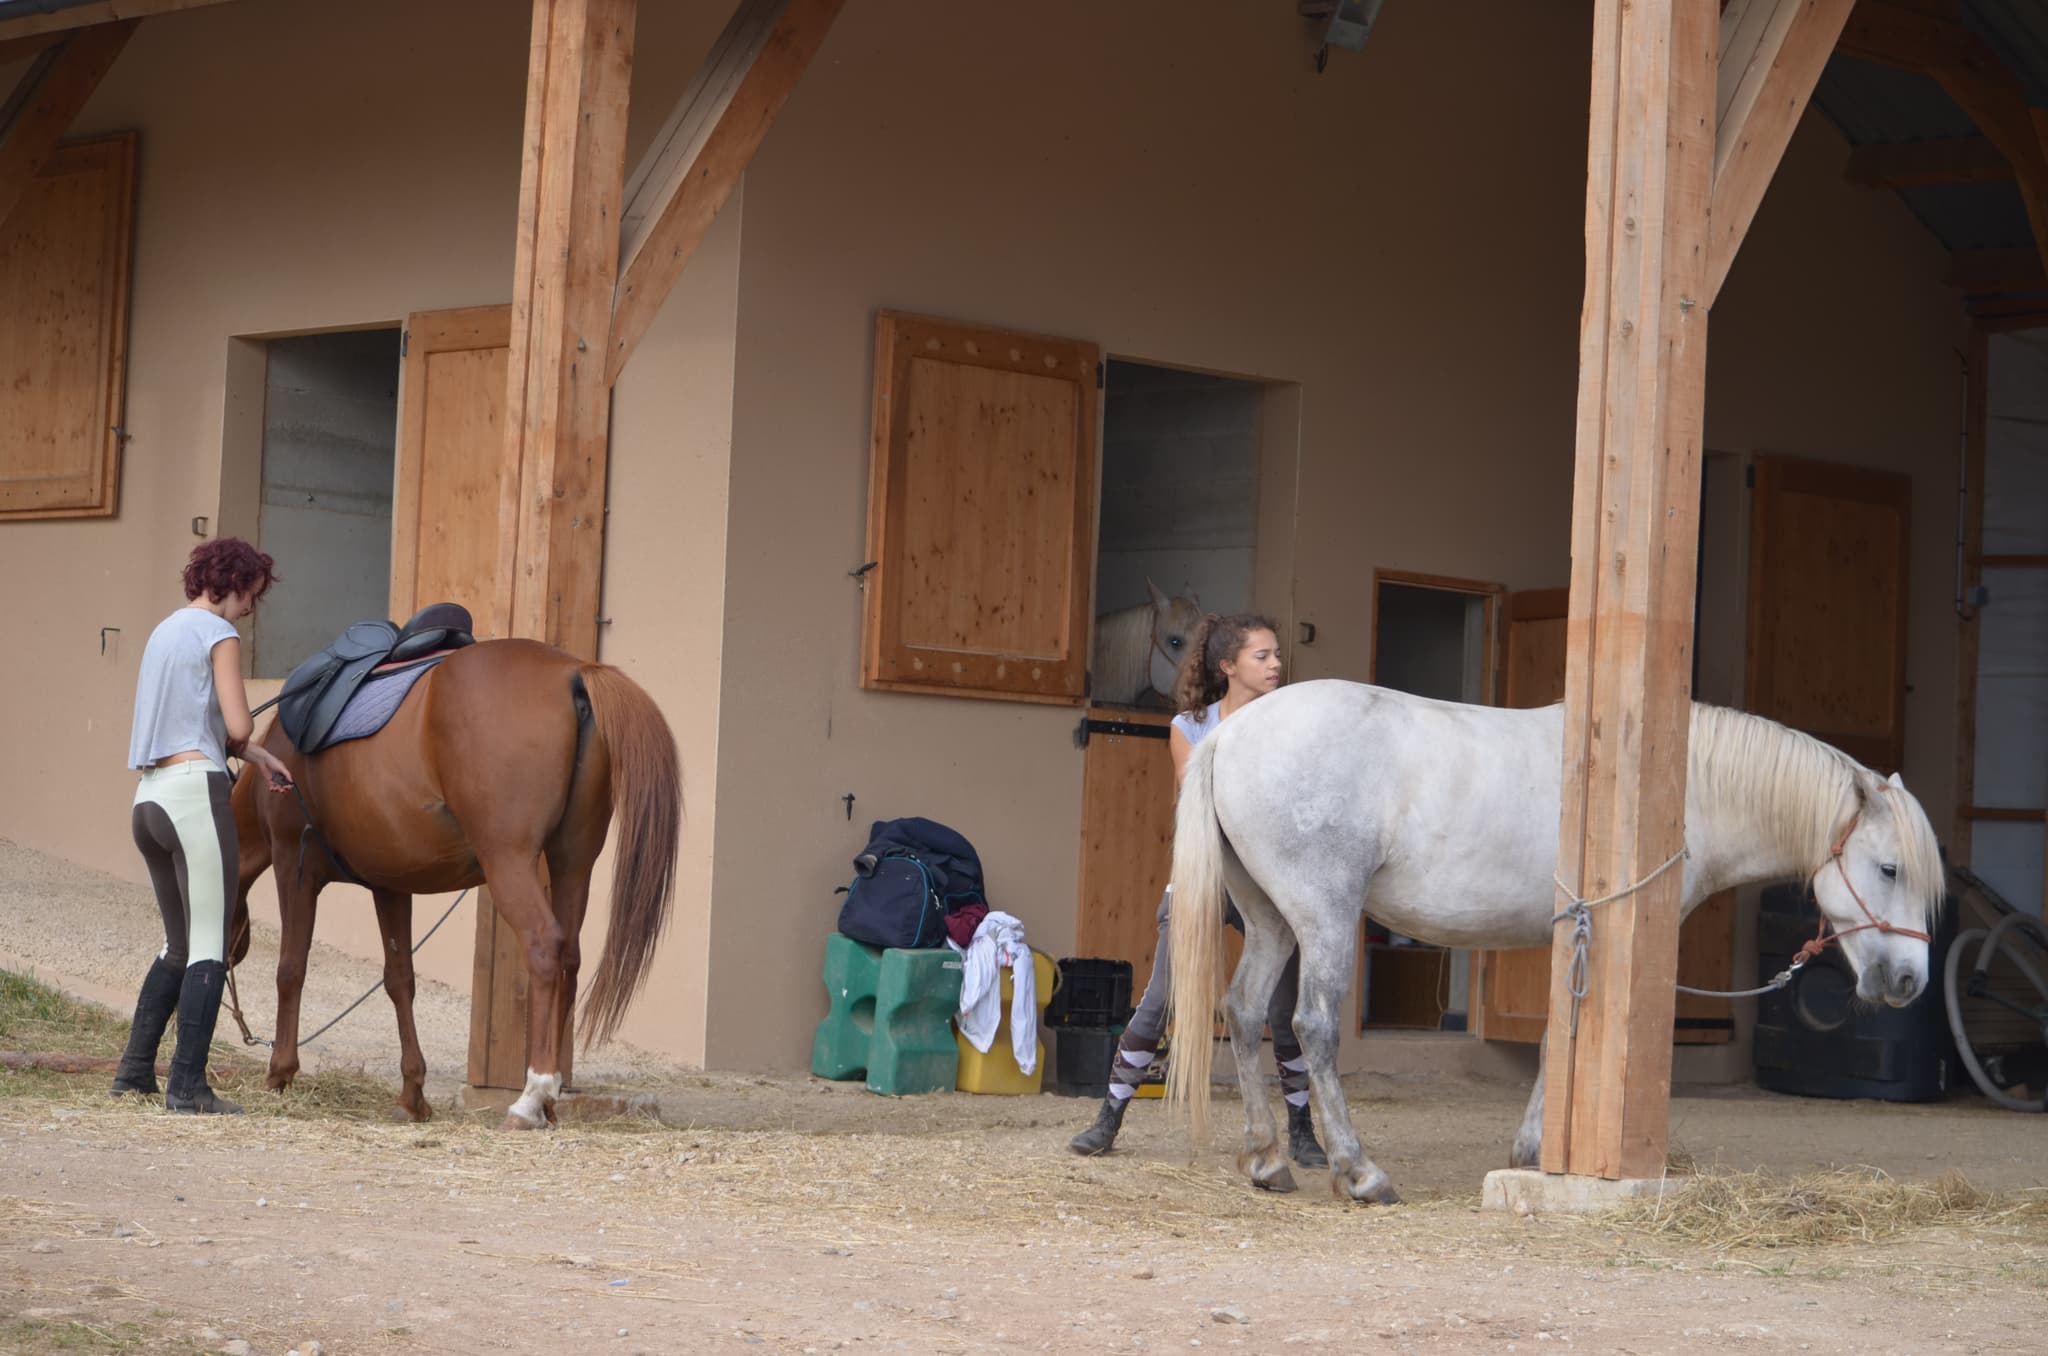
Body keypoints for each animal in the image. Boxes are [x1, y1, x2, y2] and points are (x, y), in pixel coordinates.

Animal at [227, 638, 680, 1128]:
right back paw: (551, 1097)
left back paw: (531, 1096)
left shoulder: (294, 864)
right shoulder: (391, 886)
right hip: (573, 863)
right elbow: (399, 980)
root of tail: (574, 672)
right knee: (571, 959)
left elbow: (291, 969)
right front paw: (413, 1094)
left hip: (509, 861)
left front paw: (280, 1073)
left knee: (545, 948)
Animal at [1163, 681, 1945, 1203]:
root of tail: (1232, 733)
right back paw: (1360, 1172)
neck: (1676, 787)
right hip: (1321, 918)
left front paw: (1535, 1149)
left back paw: (1267, 1161)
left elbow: (1552, 1042)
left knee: (1242, 1013)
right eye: (1889, 869)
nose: (1910, 981)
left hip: (1270, 919)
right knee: (1313, 1027)